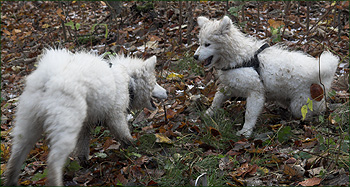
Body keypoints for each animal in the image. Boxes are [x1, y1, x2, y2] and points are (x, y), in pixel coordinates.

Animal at [4, 49, 167, 186]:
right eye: (155, 82)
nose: (167, 92)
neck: (128, 80)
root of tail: (48, 79)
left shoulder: (84, 125)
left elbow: (83, 146)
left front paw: (84, 162)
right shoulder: (115, 116)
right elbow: (124, 135)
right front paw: (135, 147)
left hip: (28, 125)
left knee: (16, 156)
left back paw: (11, 180)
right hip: (66, 124)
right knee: (54, 160)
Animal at [194, 16, 340, 137]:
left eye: (207, 44)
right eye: (200, 43)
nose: (195, 56)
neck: (239, 58)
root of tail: (319, 71)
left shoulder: (255, 92)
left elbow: (250, 114)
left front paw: (245, 132)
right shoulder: (229, 85)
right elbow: (217, 99)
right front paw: (208, 113)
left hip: (300, 104)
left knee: (317, 109)